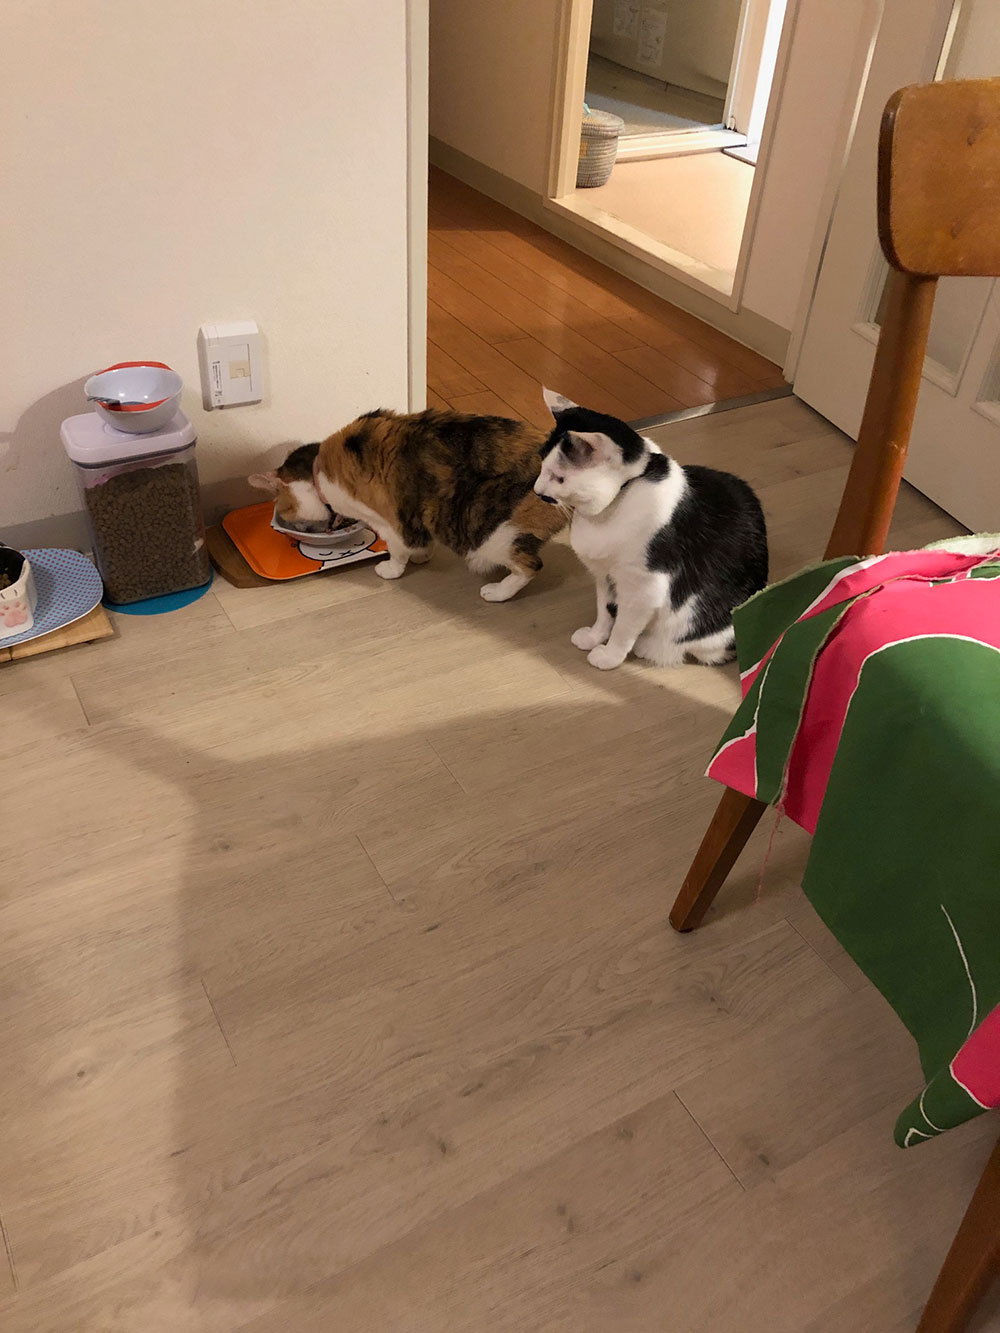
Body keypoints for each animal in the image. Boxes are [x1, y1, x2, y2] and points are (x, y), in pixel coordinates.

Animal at [252, 409, 566, 600]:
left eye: (281, 506)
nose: (284, 524)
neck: (319, 470)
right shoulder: (417, 512)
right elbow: (422, 539)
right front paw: (423, 556)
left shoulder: (391, 521)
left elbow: (397, 550)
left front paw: (391, 569)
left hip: (493, 535)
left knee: (530, 566)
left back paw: (497, 592)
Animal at [534, 389, 768, 670]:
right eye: (541, 462)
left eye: (559, 478)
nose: (537, 490)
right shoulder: (605, 576)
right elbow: (604, 610)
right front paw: (593, 637)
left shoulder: (643, 588)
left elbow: (623, 628)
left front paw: (609, 656)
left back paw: (651, 648)